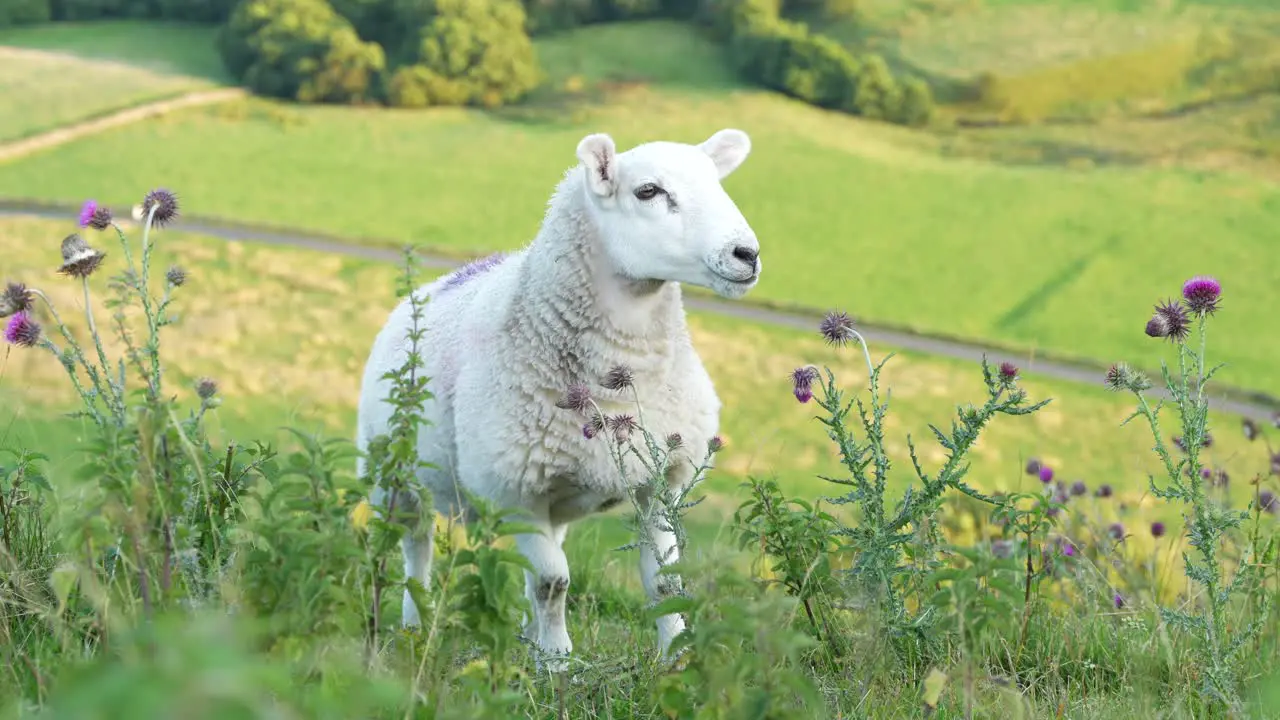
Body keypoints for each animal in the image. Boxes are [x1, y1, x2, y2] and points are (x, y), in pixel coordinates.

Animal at [353, 127, 757, 666]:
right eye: (648, 191)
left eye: (718, 183)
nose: (747, 255)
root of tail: (435, 286)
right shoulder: (514, 491)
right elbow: (553, 582)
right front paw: (558, 663)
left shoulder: (660, 483)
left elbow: (665, 584)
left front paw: (676, 660)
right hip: (394, 471)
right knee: (413, 545)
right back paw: (412, 626)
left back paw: (522, 637)